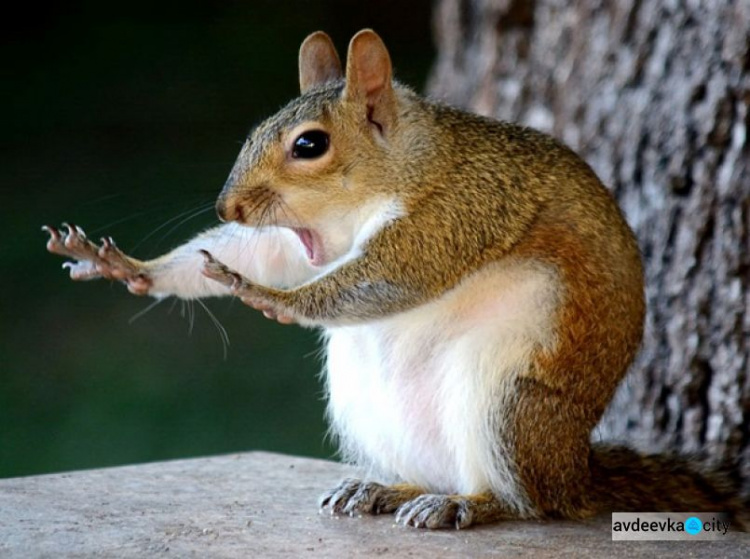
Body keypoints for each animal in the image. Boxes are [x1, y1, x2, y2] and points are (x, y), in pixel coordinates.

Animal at [44, 29, 748, 528]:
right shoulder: (306, 241)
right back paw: (384, 488)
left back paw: (469, 505)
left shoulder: (462, 209)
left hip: (508, 403)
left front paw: (270, 297)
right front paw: (130, 267)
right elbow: (264, 254)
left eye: (309, 145)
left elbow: (391, 276)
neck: (405, 166)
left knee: (529, 502)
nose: (229, 208)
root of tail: (575, 473)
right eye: (256, 129)